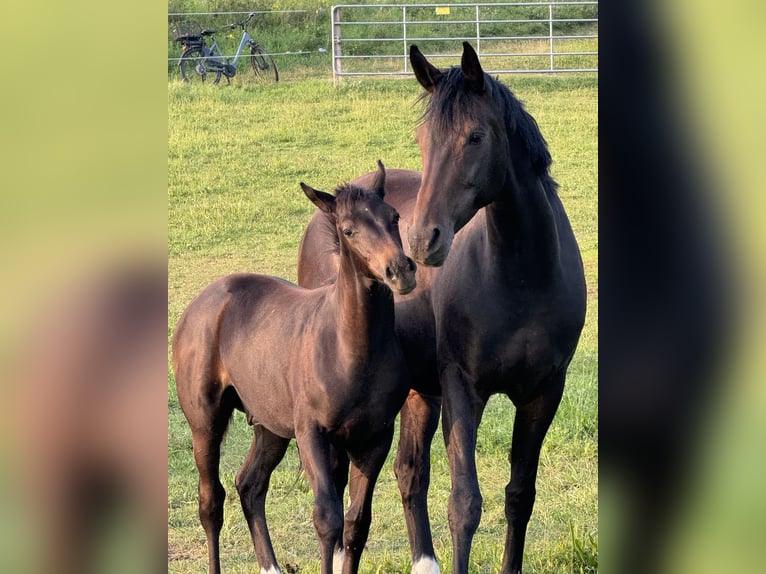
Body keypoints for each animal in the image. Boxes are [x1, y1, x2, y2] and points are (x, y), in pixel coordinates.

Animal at [173, 162, 416, 574]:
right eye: (348, 229)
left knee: (250, 484)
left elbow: (356, 523)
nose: (400, 270)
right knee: (211, 502)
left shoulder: (375, 438)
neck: (350, 349)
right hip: (205, 423)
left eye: (394, 217)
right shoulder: (313, 434)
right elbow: (327, 518)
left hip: (270, 426)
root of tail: (204, 300)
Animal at [300, 45, 588, 574]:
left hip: (420, 392)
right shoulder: (462, 389)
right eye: (422, 139)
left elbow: (519, 495)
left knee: (410, 472)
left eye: (475, 136)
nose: (420, 241)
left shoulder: (544, 393)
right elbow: (465, 504)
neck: (521, 277)